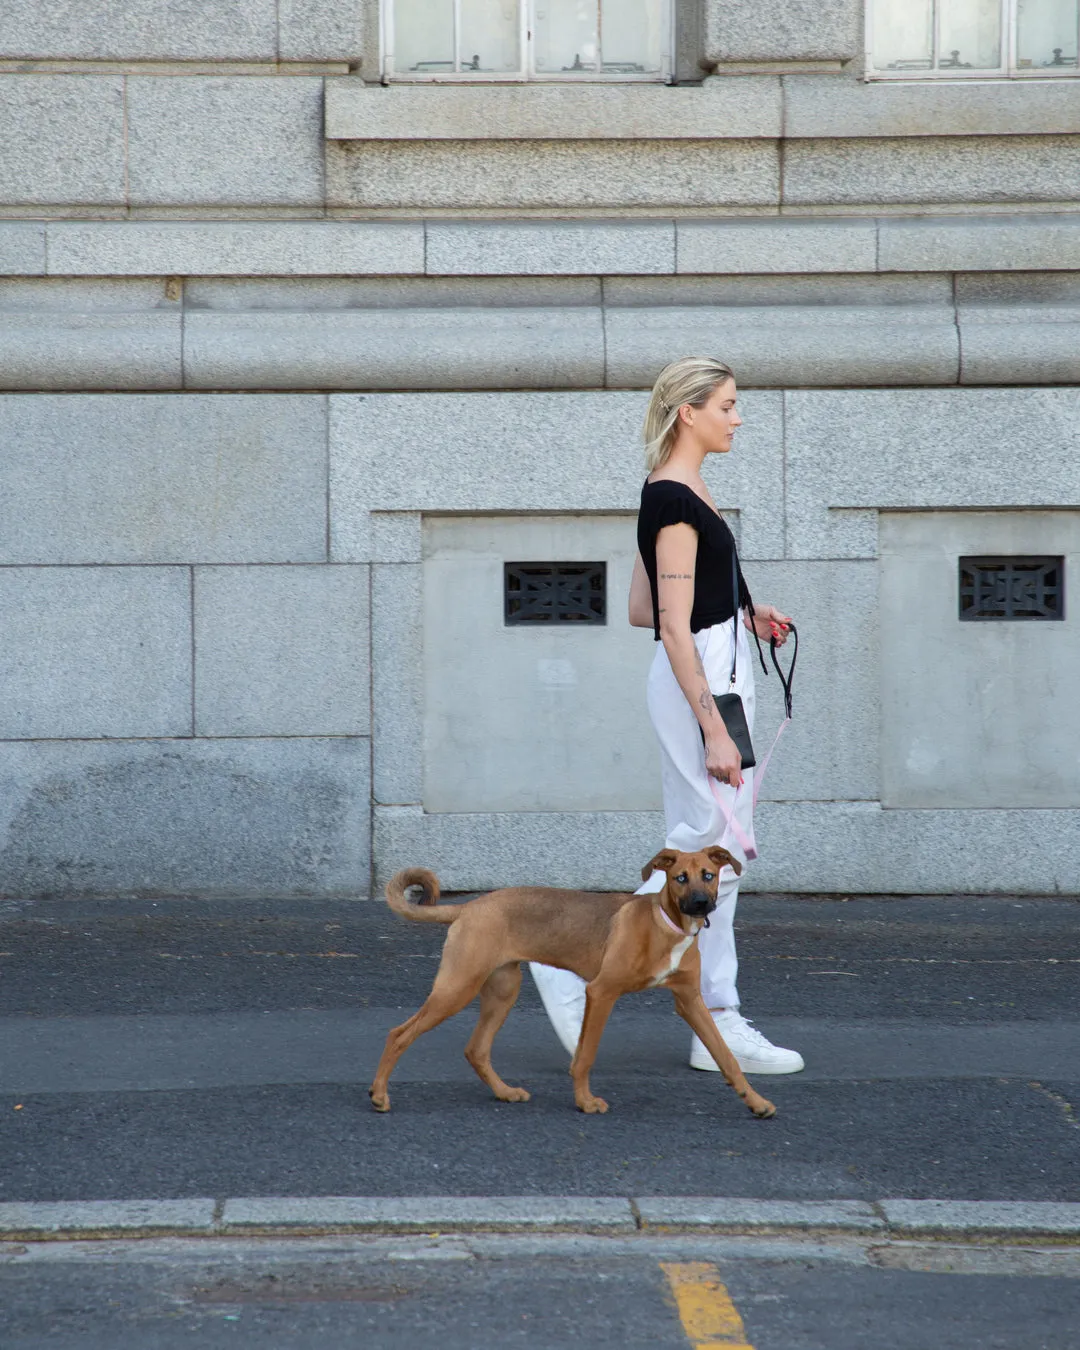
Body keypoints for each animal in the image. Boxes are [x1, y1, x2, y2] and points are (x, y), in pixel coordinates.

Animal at [372, 853, 777, 1117]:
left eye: (708, 875)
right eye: (680, 877)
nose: (701, 904)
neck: (665, 924)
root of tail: (469, 908)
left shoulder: (689, 1000)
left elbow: (726, 1057)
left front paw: (755, 1102)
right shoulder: (602, 992)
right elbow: (585, 1057)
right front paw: (585, 1102)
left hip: (502, 991)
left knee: (476, 1049)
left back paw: (504, 1092)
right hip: (457, 988)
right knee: (398, 1034)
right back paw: (379, 1095)